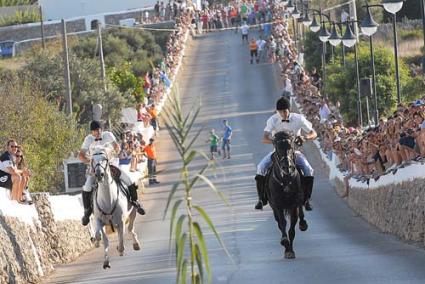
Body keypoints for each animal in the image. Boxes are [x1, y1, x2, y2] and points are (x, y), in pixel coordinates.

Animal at [264, 131, 306, 260]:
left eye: (291, 146)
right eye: (277, 148)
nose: (287, 167)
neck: (286, 180)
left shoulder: (294, 205)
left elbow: (292, 227)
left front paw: (290, 250)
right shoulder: (277, 204)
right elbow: (282, 223)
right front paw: (285, 242)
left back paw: (303, 224)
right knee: (279, 221)